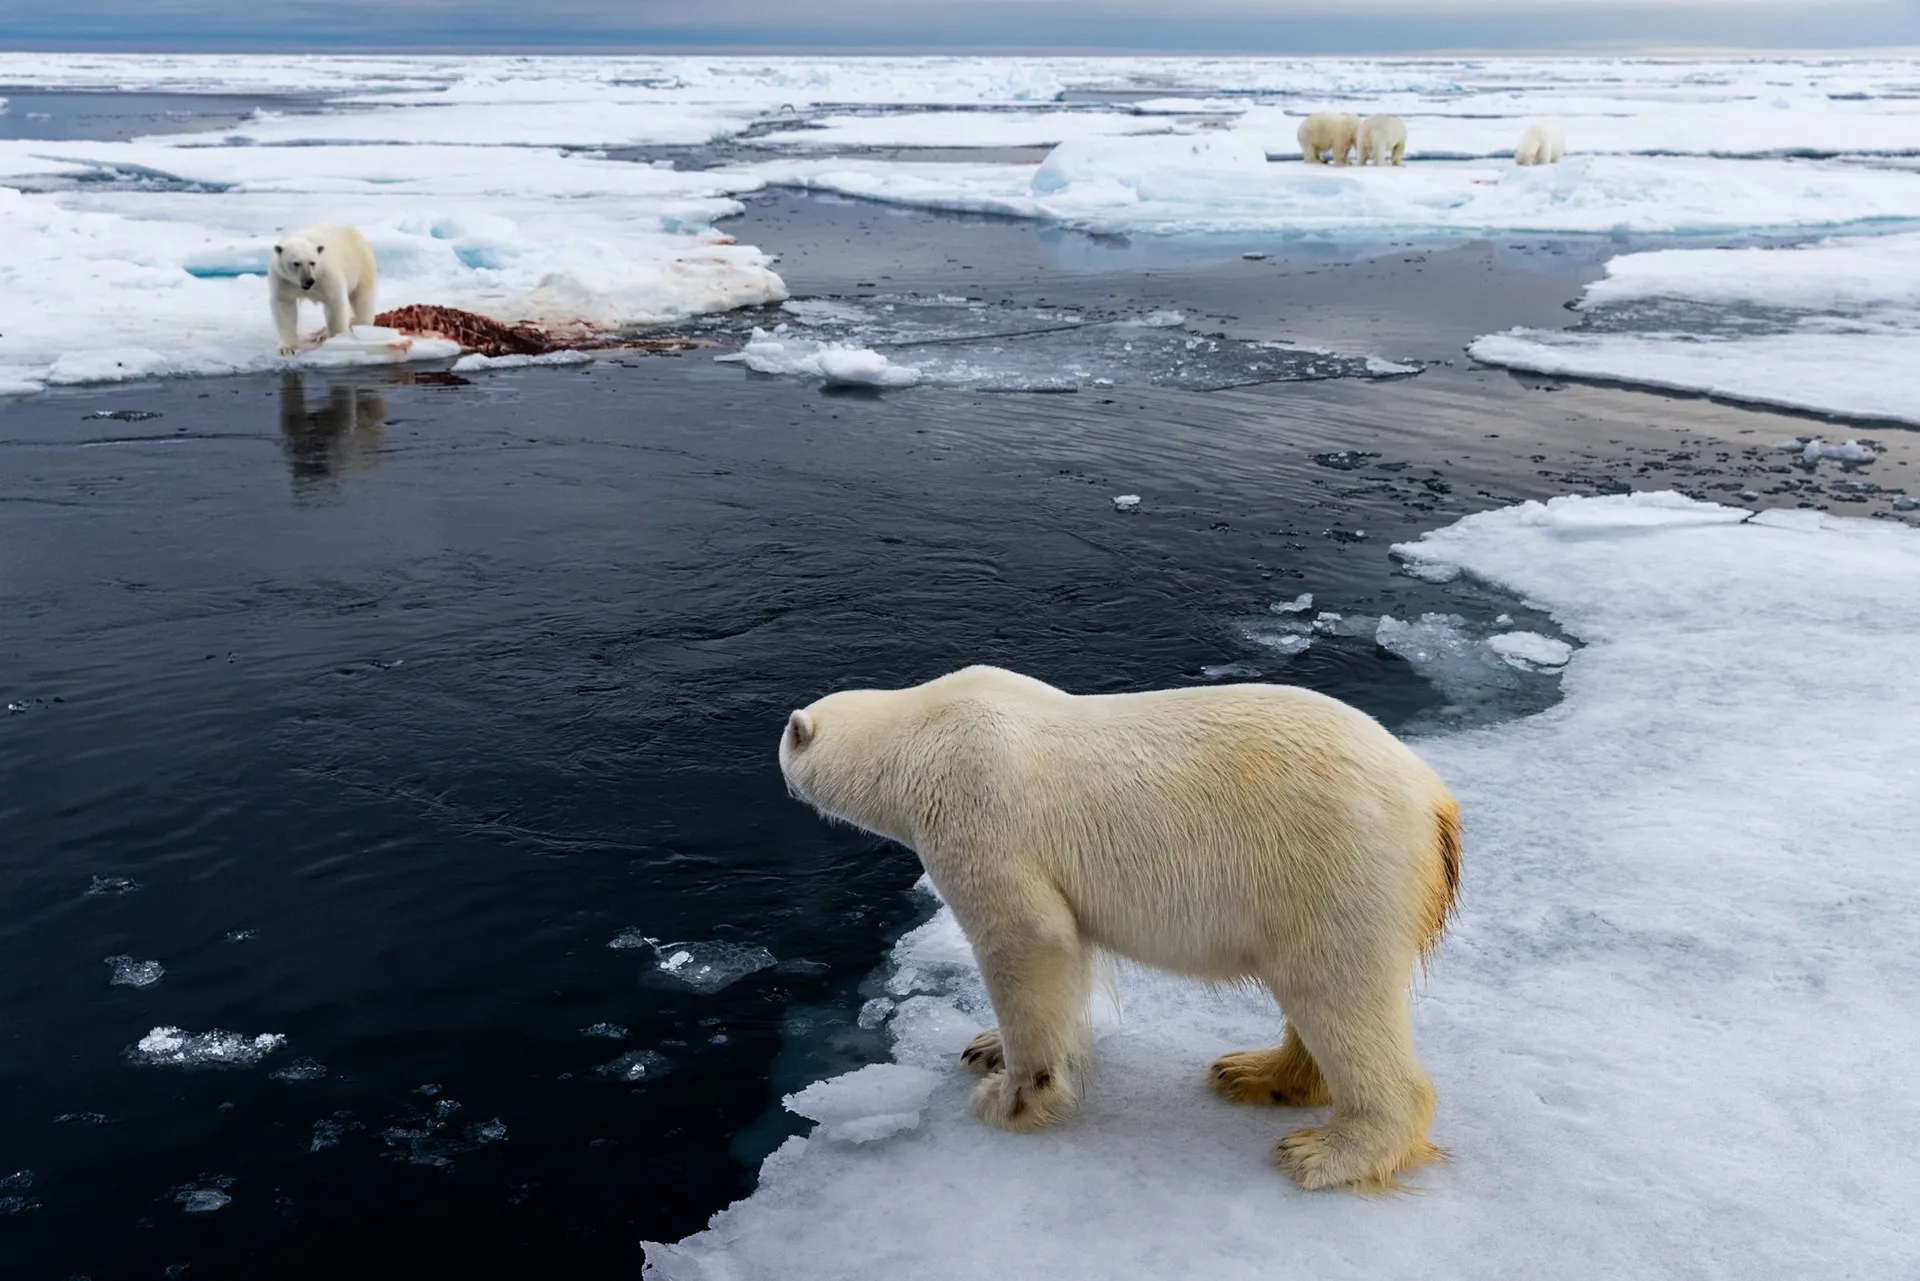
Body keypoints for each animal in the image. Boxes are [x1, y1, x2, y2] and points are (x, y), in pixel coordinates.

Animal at [270, 222, 379, 355]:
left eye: (312, 262)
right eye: (296, 263)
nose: (309, 280)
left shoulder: (325, 274)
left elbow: (335, 301)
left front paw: (337, 339)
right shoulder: (283, 280)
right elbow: (284, 306)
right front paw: (287, 348)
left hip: (361, 266)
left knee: (362, 299)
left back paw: (363, 327)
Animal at [778, 665, 1461, 1191]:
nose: (778, 764)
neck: (919, 732)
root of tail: (1438, 804)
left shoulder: (976, 811)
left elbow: (1028, 938)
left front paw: (1009, 1098)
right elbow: (1071, 957)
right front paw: (986, 1046)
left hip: (1334, 867)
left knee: (1336, 992)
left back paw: (1323, 1151)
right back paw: (1253, 1072)